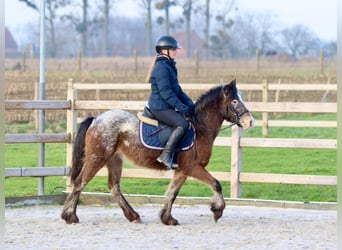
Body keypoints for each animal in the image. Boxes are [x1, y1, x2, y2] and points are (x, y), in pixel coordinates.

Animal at [61, 79, 254, 226]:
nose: (250, 121)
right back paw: (70, 216)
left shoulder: (182, 170)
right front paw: (217, 211)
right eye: (235, 101)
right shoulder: (193, 168)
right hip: (97, 158)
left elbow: (172, 193)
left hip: (114, 160)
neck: (199, 129)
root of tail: (96, 119)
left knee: (114, 186)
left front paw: (167, 219)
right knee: (80, 182)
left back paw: (133, 216)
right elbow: (216, 184)